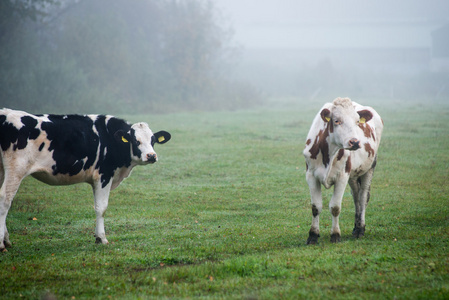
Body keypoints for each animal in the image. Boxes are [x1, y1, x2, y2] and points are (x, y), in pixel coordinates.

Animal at [0, 108, 172, 251]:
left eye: (153, 141)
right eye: (136, 141)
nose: (151, 156)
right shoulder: (104, 176)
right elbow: (101, 208)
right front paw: (101, 238)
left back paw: (7, 240)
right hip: (16, 169)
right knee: (5, 199)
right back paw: (2, 244)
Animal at [300, 98, 382, 244]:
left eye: (357, 121)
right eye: (337, 120)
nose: (355, 142)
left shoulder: (342, 176)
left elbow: (335, 207)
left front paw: (335, 234)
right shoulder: (310, 175)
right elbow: (315, 207)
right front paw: (313, 235)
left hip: (370, 167)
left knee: (363, 197)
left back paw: (360, 229)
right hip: (353, 175)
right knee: (356, 196)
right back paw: (356, 228)